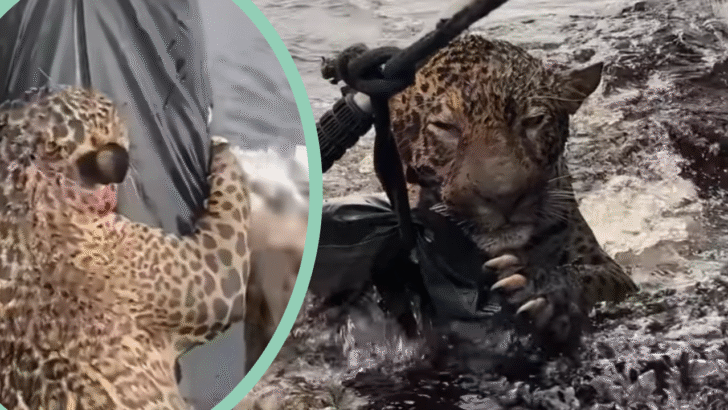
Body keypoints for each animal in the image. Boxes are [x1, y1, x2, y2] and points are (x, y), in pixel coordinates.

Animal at [0, 86, 251, 409]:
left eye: (36, 96)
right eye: (104, 117)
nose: (95, 92)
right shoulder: (209, 275)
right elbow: (233, 210)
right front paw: (223, 150)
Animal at [389, 34, 639, 346]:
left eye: (532, 120)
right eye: (446, 127)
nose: (504, 197)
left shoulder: (612, 271)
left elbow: (593, 279)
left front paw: (542, 291)